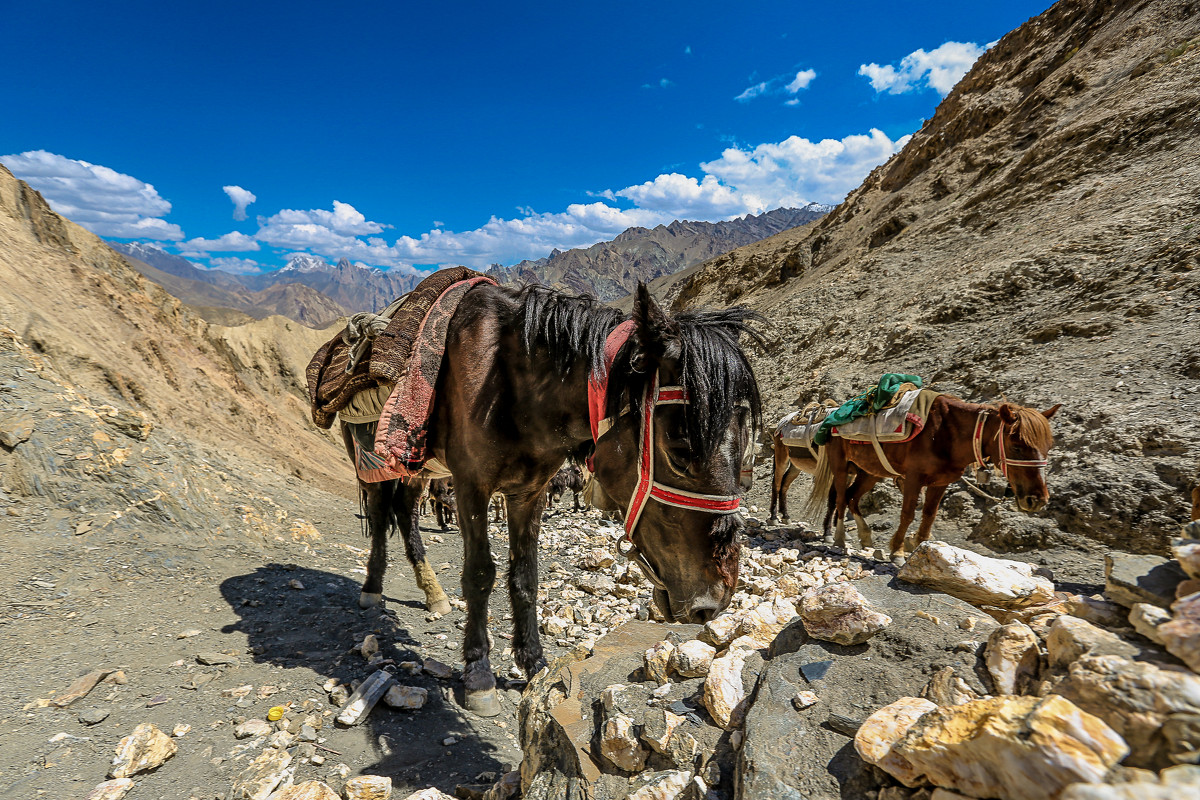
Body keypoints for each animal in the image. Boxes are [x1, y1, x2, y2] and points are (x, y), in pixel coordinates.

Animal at [806, 395, 1060, 561]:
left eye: (1048, 447)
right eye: (1017, 446)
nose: (1036, 500)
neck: (946, 433)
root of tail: (832, 416)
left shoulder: (941, 482)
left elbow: (929, 515)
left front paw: (920, 547)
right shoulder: (913, 478)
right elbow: (908, 514)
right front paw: (897, 551)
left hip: (869, 472)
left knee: (852, 498)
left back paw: (866, 537)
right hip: (841, 467)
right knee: (840, 499)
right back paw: (839, 539)